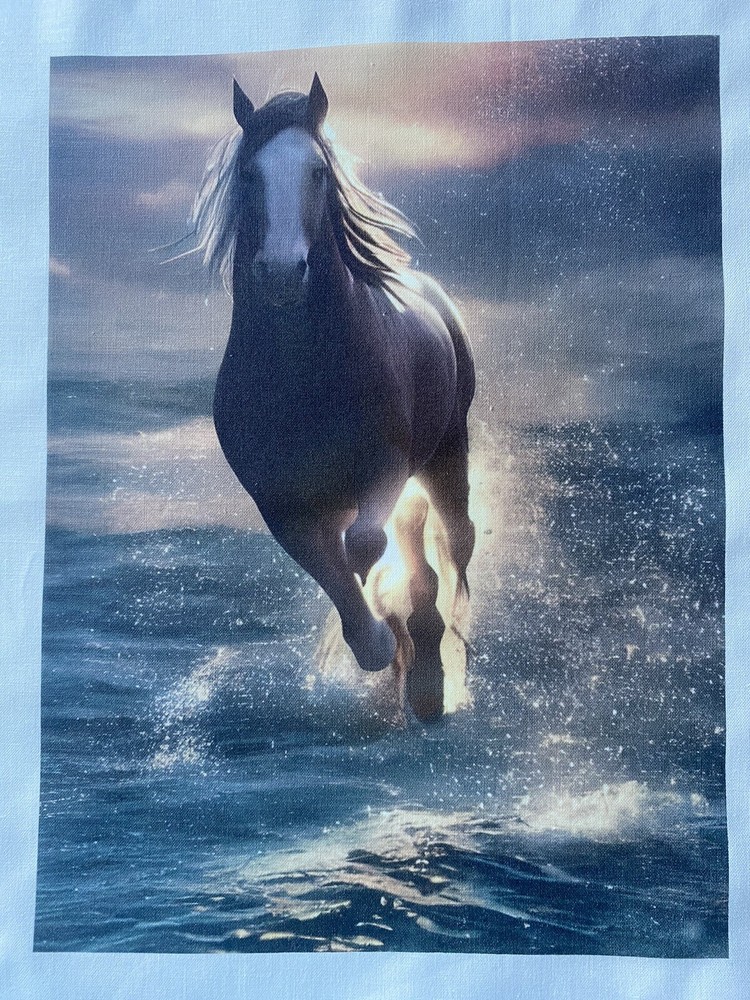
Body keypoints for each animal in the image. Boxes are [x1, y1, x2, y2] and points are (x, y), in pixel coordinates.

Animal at [188, 75, 475, 721]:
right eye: (250, 174)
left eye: (318, 172)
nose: (279, 272)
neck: (304, 376)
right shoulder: (282, 504)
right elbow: (334, 572)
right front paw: (379, 645)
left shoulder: (384, 467)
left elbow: (365, 547)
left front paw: (402, 641)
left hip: (446, 454)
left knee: (452, 540)